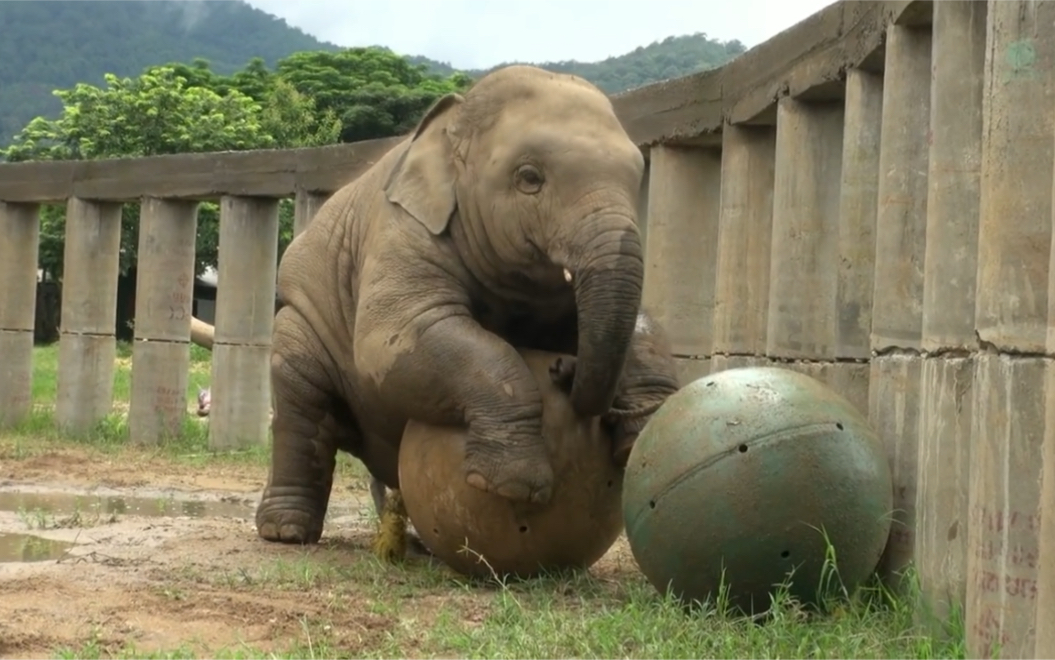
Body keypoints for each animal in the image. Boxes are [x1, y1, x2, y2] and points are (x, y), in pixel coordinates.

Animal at [258, 64, 679, 544]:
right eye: (529, 177)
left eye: (637, 178)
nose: (562, 368)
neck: (453, 121)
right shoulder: (403, 230)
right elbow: (393, 337)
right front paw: (508, 486)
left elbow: (642, 322)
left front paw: (640, 439)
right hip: (298, 317)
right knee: (301, 405)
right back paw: (287, 532)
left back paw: (408, 542)